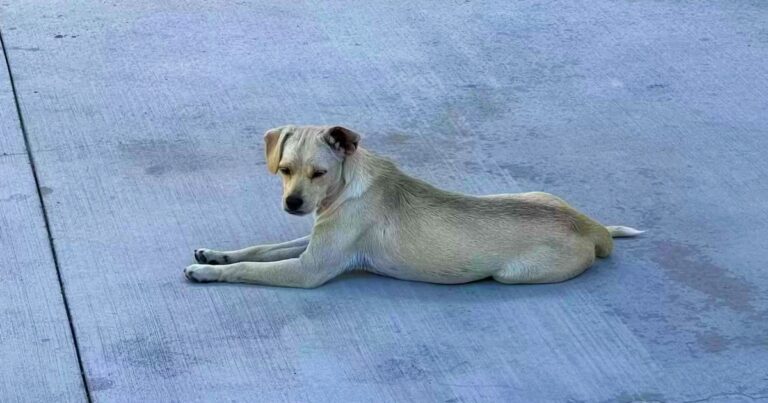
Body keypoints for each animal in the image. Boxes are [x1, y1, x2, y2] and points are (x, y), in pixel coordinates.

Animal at [184, 125, 640, 288]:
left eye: (319, 173)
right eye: (284, 169)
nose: (292, 203)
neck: (347, 186)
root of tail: (593, 229)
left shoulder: (309, 269)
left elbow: (250, 267)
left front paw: (209, 272)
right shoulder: (313, 241)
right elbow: (260, 249)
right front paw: (215, 254)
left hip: (512, 275)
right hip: (533, 193)